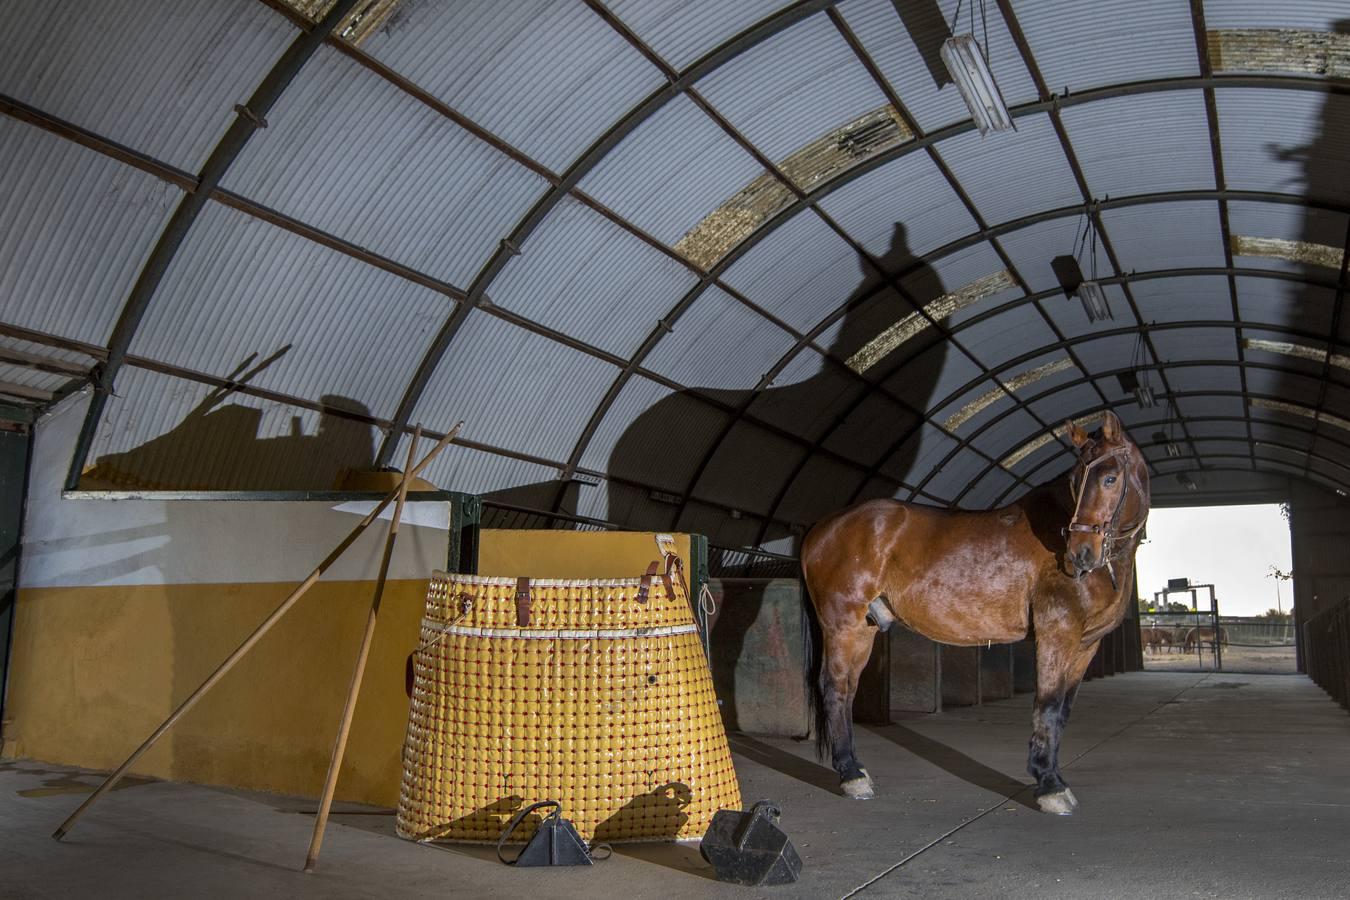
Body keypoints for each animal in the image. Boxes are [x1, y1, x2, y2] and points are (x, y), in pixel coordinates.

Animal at [799, 412, 1150, 814]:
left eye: (1110, 478)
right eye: (1077, 481)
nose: (1081, 554)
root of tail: (821, 527)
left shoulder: (1085, 645)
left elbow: (1062, 711)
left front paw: (1051, 778)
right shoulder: (1056, 634)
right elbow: (1047, 705)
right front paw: (1049, 787)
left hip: (863, 629)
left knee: (847, 691)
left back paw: (857, 771)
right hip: (843, 625)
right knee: (835, 689)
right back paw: (851, 777)